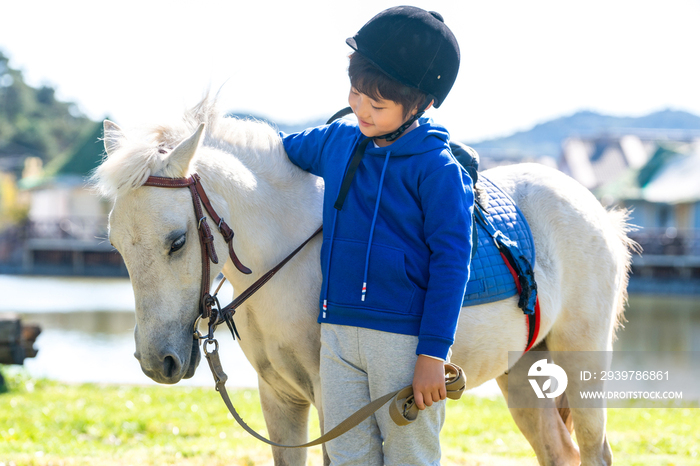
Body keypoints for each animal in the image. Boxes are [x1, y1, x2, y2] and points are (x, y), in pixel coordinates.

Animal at [94, 99, 636, 466]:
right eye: (116, 243)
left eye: (177, 241)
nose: (157, 362)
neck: (288, 254)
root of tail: (596, 211)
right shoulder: (280, 398)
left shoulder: (334, 403)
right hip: (523, 373)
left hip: (581, 364)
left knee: (594, 450)